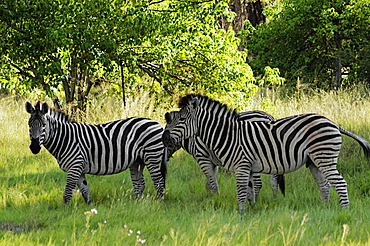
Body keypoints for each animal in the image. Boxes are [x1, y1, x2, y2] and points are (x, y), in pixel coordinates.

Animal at [24, 101, 166, 205]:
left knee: (159, 182)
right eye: (29, 124)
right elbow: (85, 190)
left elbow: (67, 192)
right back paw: (134, 204)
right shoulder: (78, 169)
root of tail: (156, 123)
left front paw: (65, 210)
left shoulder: (75, 166)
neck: (65, 138)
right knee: (139, 184)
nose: (34, 147)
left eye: (44, 125)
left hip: (151, 157)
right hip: (137, 161)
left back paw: (160, 203)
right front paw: (90, 208)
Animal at [163, 94, 370, 213]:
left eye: (181, 119)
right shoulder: (246, 166)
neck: (228, 135)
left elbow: (238, 190)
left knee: (340, 183)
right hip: (313, 162)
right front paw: (250, 209)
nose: (164, 138)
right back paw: (325, 209)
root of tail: (332, 122)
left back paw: (344, 211)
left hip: (324, 157)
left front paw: (240, 214)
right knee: (325, 185)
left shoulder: (238, 165)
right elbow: (246, 189)